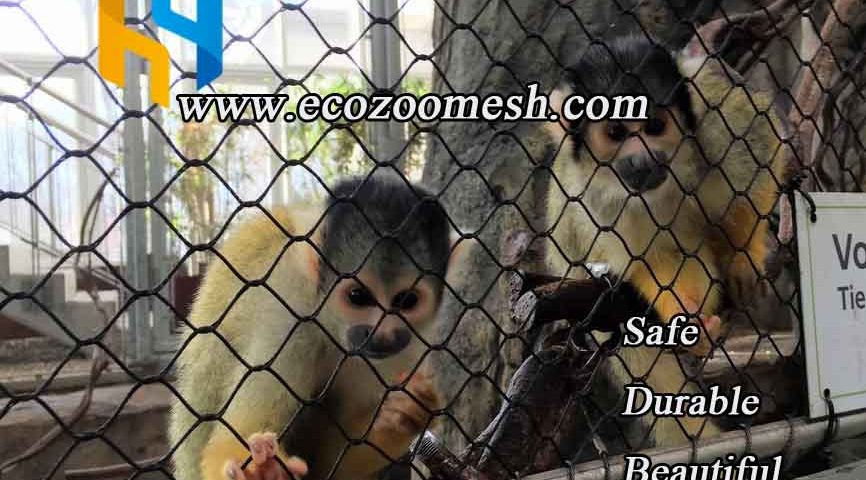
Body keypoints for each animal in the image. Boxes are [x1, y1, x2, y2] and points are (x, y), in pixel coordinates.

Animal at [168, 173, 459, 480]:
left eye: (407, 300)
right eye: (358, 296)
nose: (380, 334)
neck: (330, 325)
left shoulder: (402, 348)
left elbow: (340, 461)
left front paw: (406, 415)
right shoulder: (288, 313)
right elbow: (229, 440)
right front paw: (262, 469)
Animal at [543, 35, 787, 448]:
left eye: (655, 126)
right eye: (615, 133)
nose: (643, 159)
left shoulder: (714, 126)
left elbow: (759, 150)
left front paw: (742, 255)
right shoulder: (598, 204)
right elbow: (662, 256)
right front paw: (687, 320)